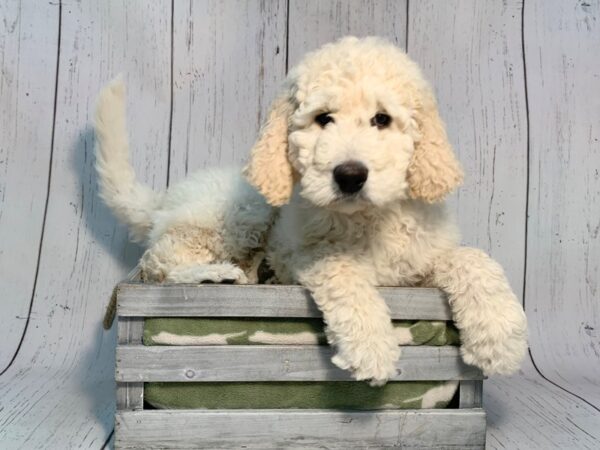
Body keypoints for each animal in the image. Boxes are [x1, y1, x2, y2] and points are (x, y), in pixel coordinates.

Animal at [95, 37, 528, 384]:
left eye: (382, 119)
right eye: (323, 119)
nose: (350, 175)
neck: (368, 217)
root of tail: (165, 199)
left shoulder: (422, 259)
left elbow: (472, 260)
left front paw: (499, 336)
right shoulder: (304, 253)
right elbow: (343, 271)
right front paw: (371, 348)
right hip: (243, 210)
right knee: (158, 262)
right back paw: (217, 274)